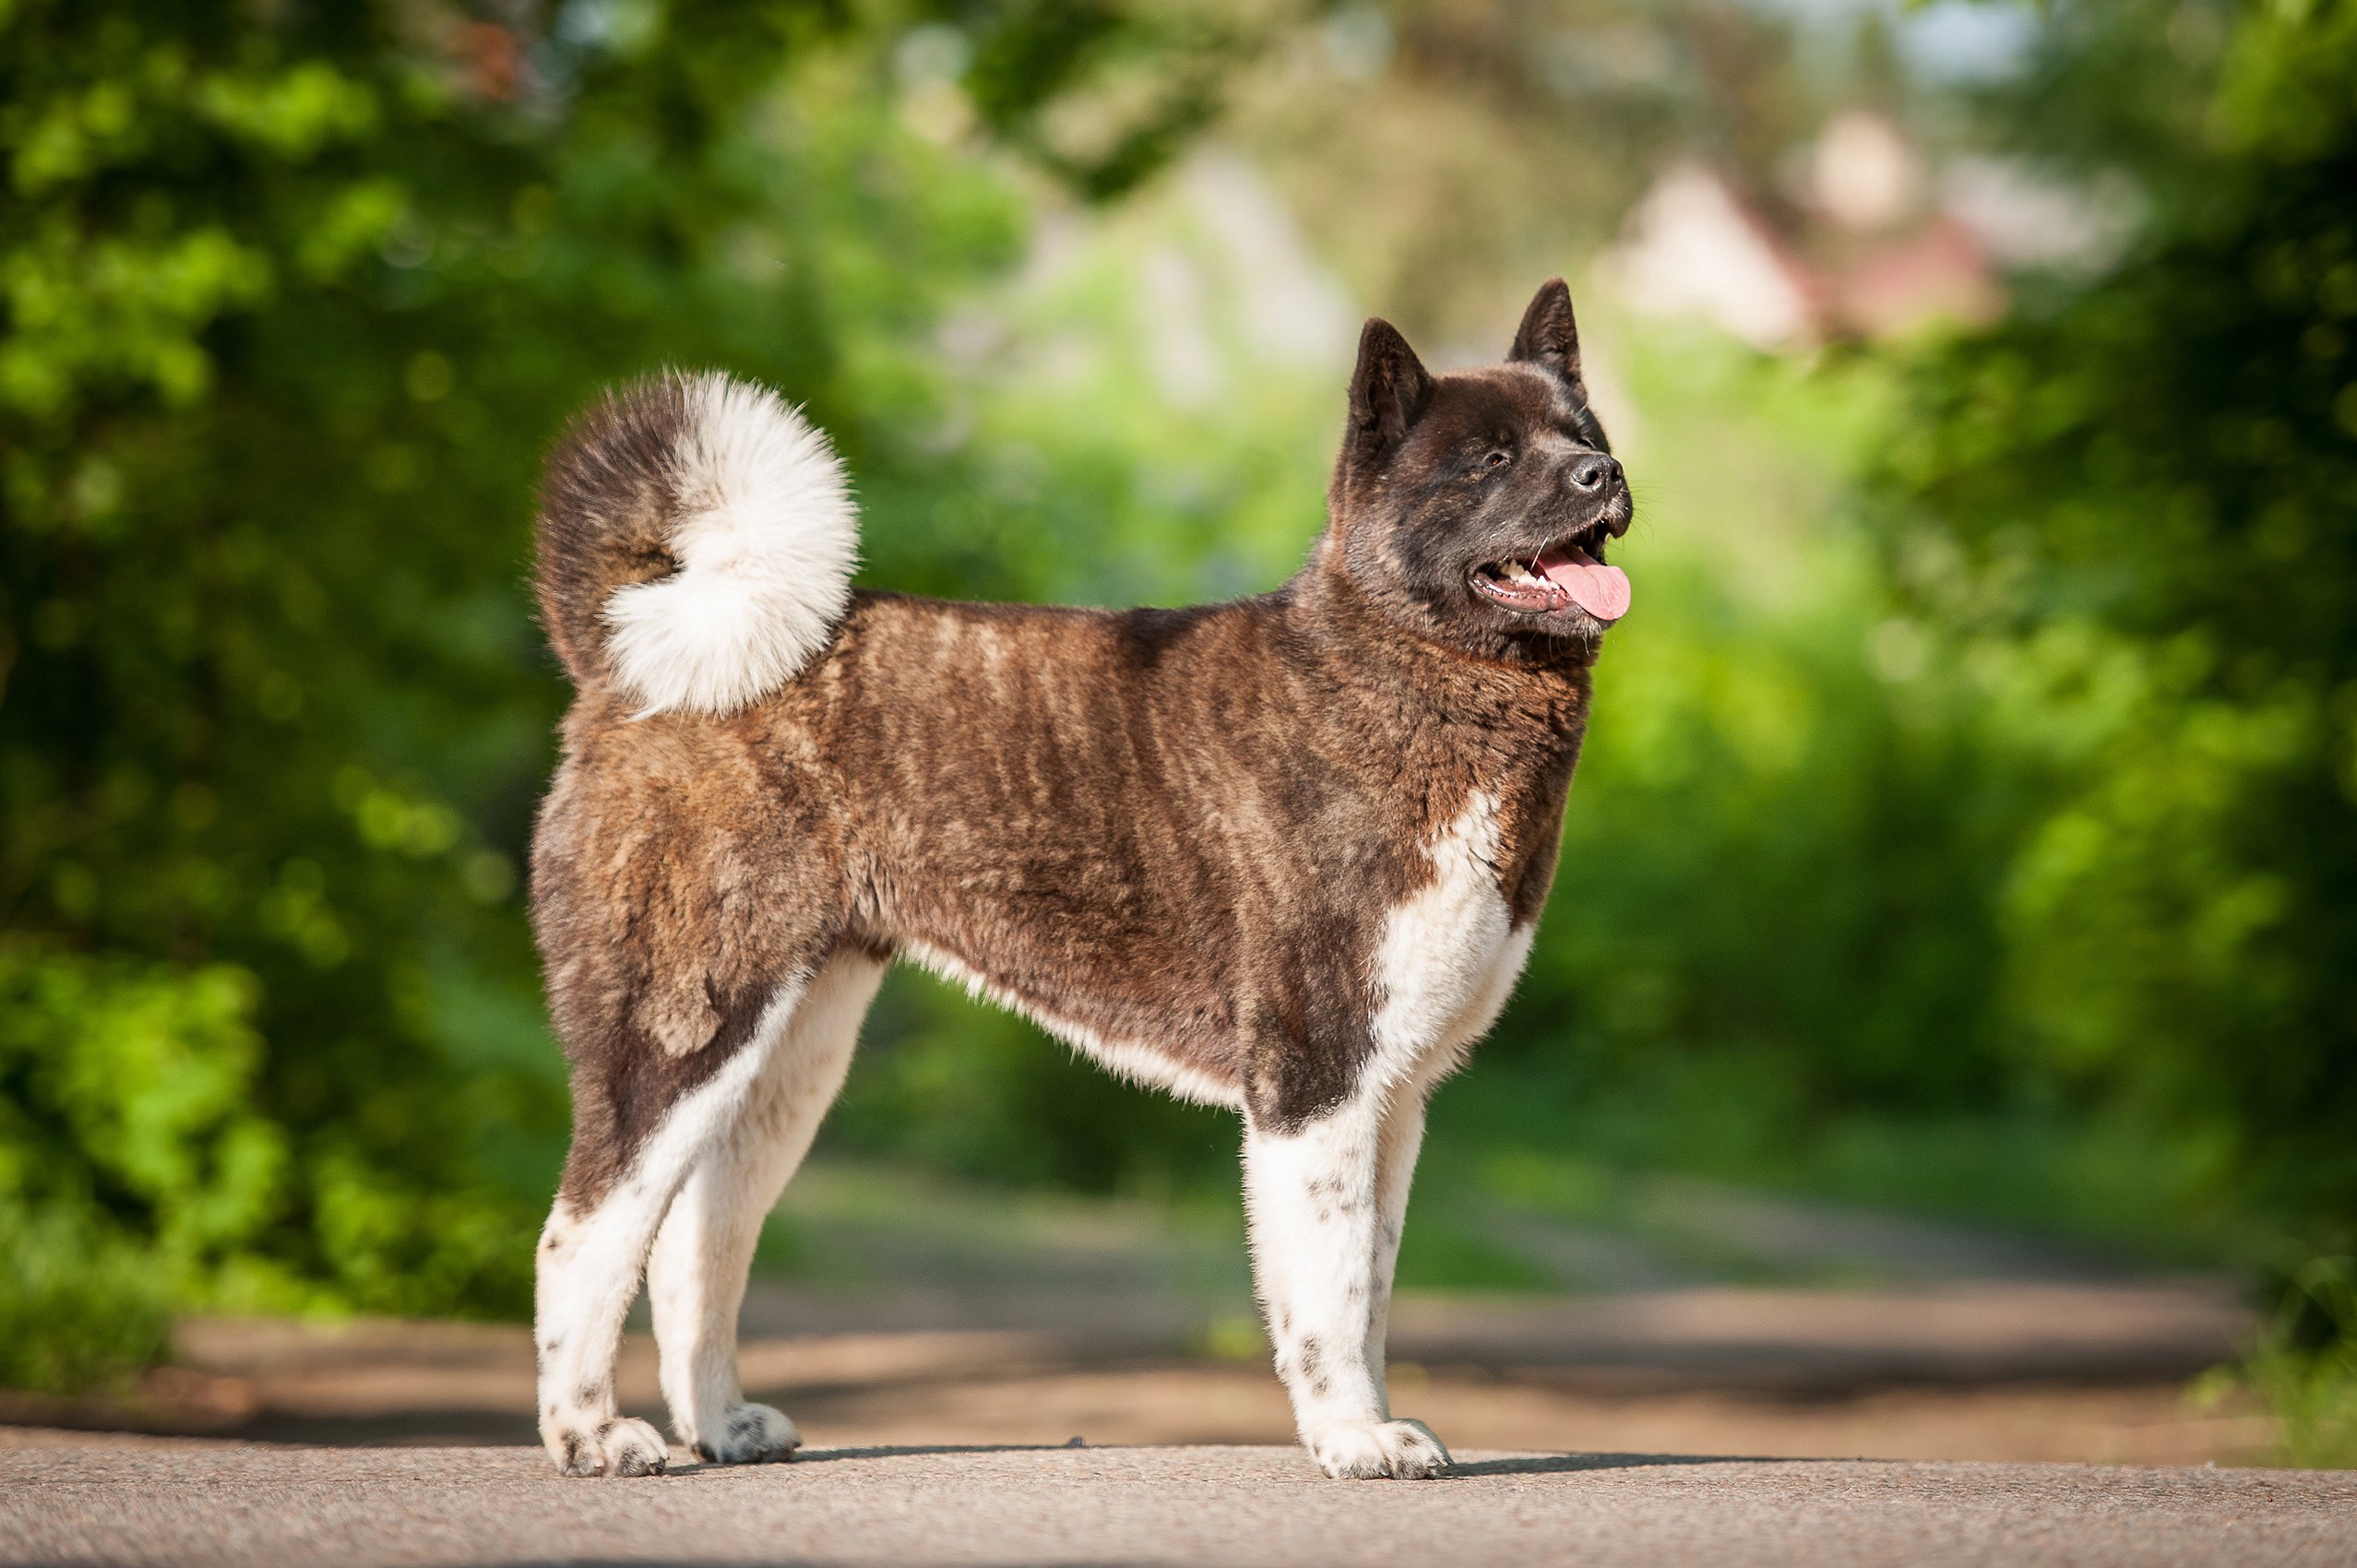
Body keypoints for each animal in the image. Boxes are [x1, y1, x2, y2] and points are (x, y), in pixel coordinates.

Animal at [525, 278, 1631, 1480]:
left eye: (1584, 433)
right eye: (1486, 460)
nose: (1602, 475)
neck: (1398, 672)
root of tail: (633, 651)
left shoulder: (1393, 1096)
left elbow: (1372, 1289)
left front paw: (1372, 1421)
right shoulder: (1318, 1078)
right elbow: (1330, 1295)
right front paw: (1348, 1434)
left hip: (789, 1056)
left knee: (700, 1232)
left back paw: (721, 1421)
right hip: (679, 1028)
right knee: (582, 1229)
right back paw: (588, 1431)